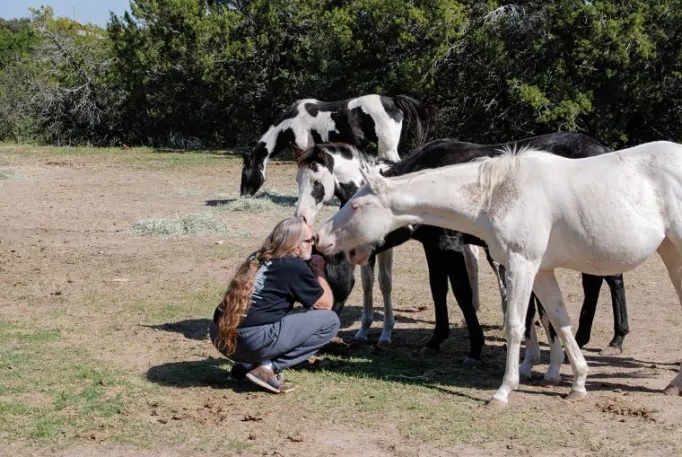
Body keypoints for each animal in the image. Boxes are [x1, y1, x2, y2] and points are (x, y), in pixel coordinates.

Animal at [316, 140, 680, 406]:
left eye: (356, 206)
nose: (320, 239)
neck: (498, 193)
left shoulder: (521, 263)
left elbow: (515, 325)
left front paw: (504, 390)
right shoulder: (541, 269)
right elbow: (559, 321)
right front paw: (577, 382)